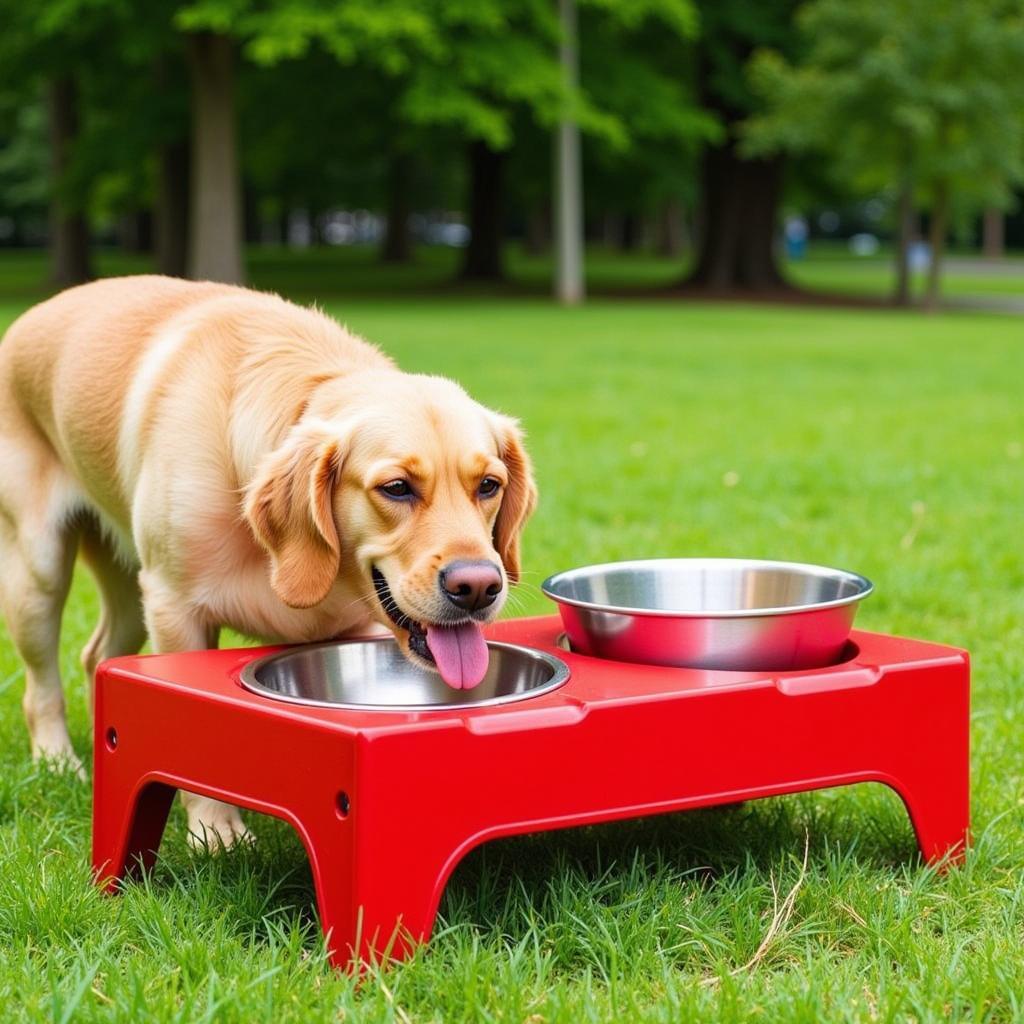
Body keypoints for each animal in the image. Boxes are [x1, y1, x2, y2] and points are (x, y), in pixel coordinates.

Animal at [0, 276, 540, 843]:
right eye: (396, 488)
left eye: (489, 485)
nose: (478, 587)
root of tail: (45, 307)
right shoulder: (174, 608)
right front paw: (214, 833)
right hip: (39, 571)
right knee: (41, 685)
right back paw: (59, 763)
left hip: (127, 593)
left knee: (96, 654)